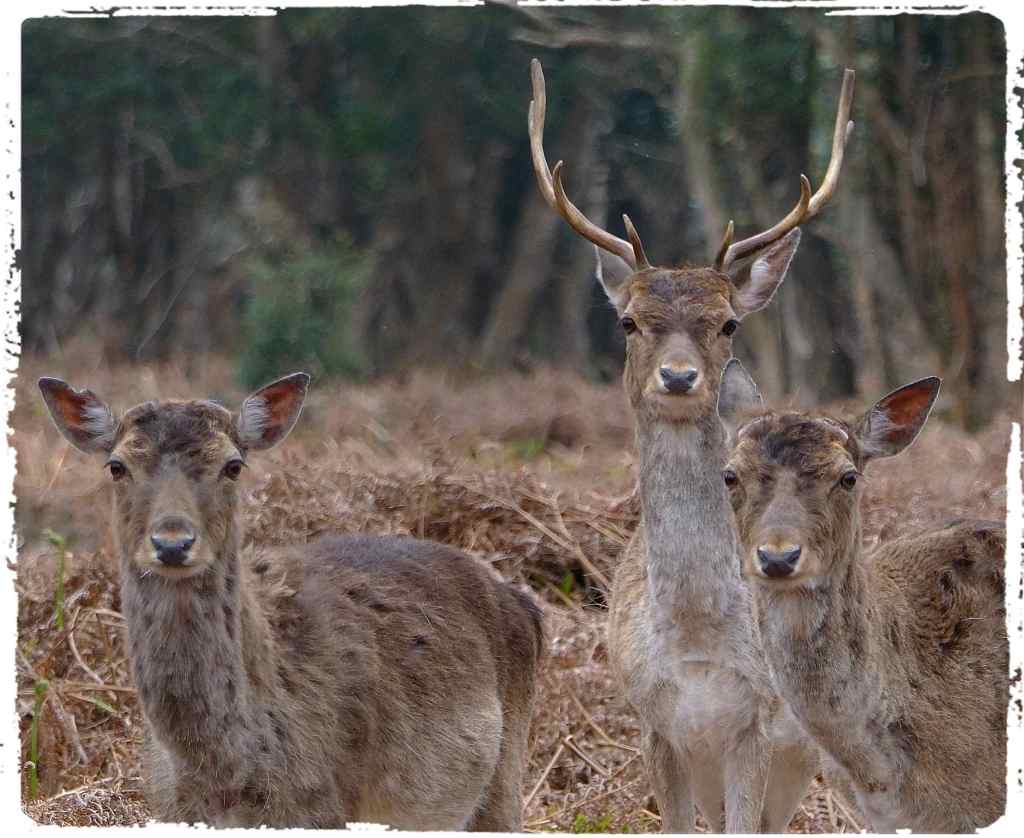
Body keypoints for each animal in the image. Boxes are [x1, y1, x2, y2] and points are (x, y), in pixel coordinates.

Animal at [37, 373, 543, 829]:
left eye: (233, 465)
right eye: (117, 465)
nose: (173, 543)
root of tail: (526, 604)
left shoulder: (326, 808)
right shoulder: (167, 806)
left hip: (505, 778)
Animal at [528, 58, 855, 832]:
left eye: (728, 322)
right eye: (628, 321)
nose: (679, 376)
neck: (698, 645)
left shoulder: (756, 729)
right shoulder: (655, 723)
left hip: (804, 748)